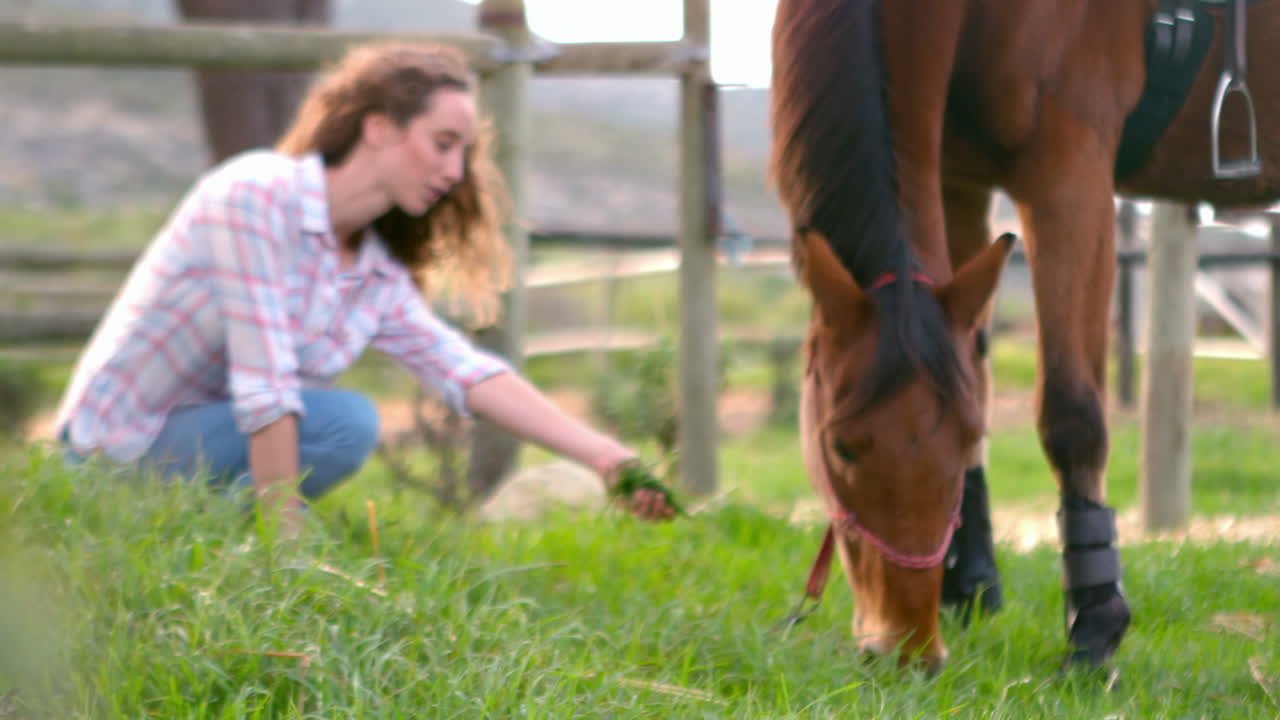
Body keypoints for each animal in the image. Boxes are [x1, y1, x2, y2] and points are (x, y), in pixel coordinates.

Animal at [768, 0, 1280, 670]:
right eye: (840, 447)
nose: (907, 650)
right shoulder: (955, 178)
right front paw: (969, 587)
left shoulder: (1070, 172)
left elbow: (1072, 413)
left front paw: (1095, 625)